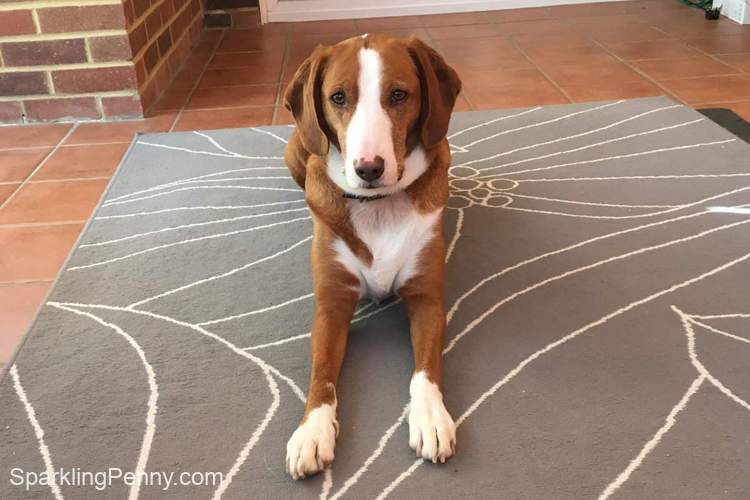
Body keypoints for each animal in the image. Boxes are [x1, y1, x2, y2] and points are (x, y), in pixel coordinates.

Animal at [282, 33, 462, 478]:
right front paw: (313, 431)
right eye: (338, 97)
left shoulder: (428, 301)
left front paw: (430, 417)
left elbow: (425, 369)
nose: (368, 168)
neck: (377, 206)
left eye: (399, 95)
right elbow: (321, 375)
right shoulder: (331, 307)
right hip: (295, 150)